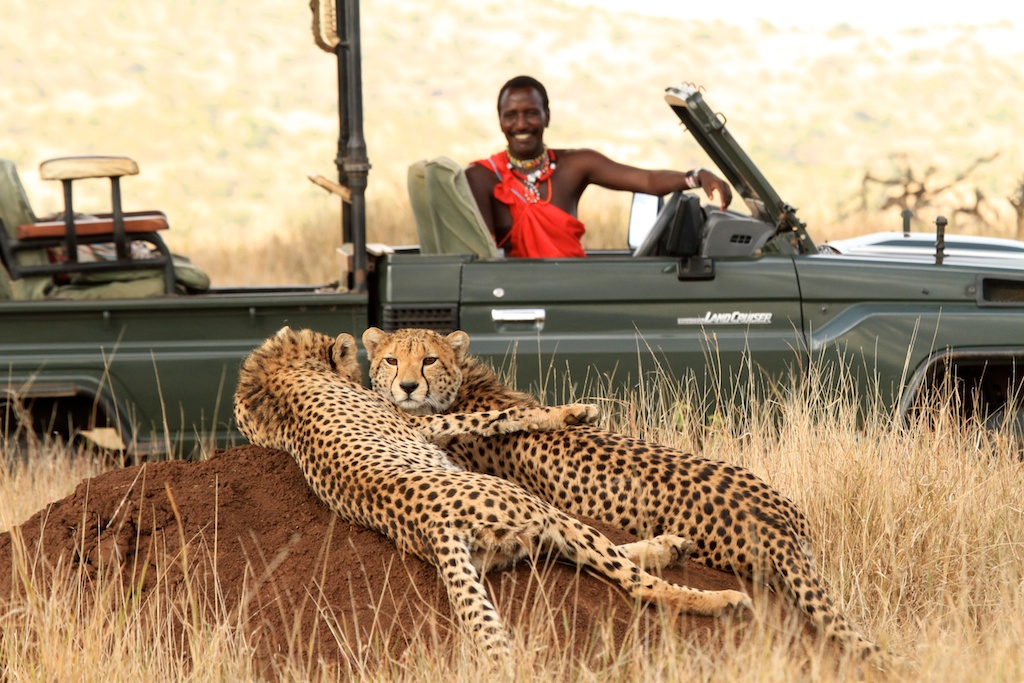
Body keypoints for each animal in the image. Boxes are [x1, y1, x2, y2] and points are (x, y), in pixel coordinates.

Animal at [234, 327, 753, 659]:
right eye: (389, 361)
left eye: (426, 360)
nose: (406, 386)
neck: (281, 375)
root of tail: (433, 525)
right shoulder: (424, 425)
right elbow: (500, 417)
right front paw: (570, 412)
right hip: (537, 508)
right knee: (636, 583)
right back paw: (720, 599)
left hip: (517, 539)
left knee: (589, 556)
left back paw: (671, 546)